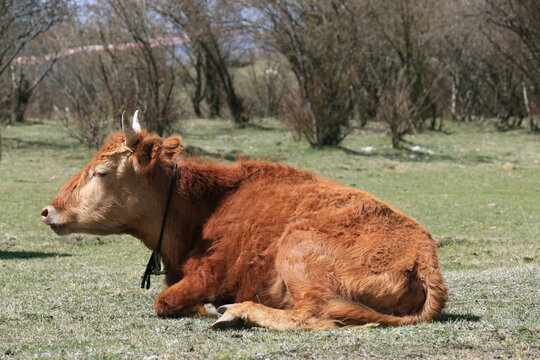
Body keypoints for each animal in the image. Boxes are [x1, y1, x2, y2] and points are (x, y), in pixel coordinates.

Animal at [42, 112, 448, 330]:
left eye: (101, 172)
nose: (48, 210)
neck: (204, 206)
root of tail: (424, 256)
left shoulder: (209, 274)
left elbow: (164, 300)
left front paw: (209, 308)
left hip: (298, 251)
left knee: (313, 316)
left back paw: (236, 312)